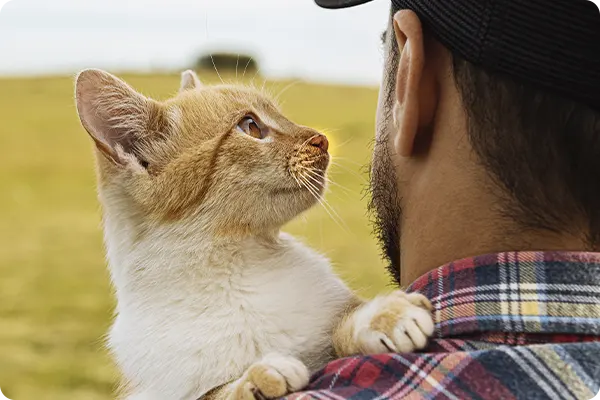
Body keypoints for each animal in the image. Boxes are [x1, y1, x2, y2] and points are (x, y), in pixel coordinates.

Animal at [74, 69, 432, 400]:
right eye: (250, 126)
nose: (322, 139)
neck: (233, 271)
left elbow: (342, 326)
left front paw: (384, 318)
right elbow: (216, 392)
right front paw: (257, 377)